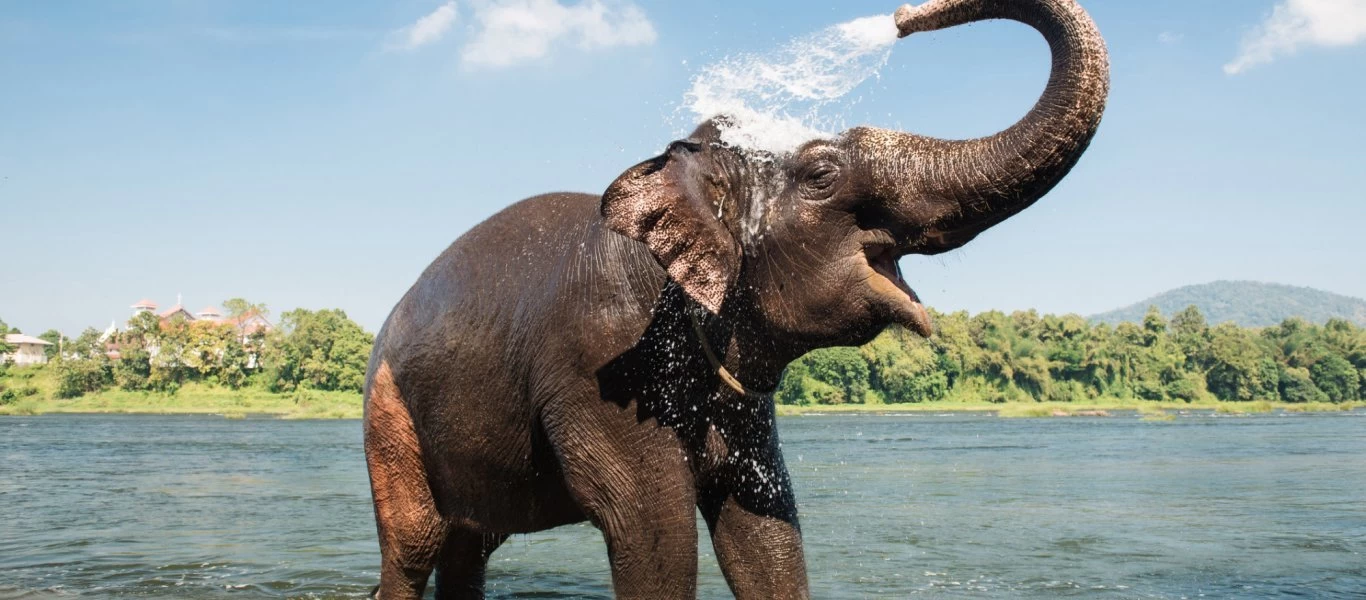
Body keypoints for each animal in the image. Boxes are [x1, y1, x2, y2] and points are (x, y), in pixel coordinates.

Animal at [363, 2, 1109, 598]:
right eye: (821, 173)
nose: (903, 17)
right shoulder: (599, 365)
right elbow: (653, 534)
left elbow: (763, 531)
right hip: (387, 415)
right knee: (416, 546)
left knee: (470, 547)